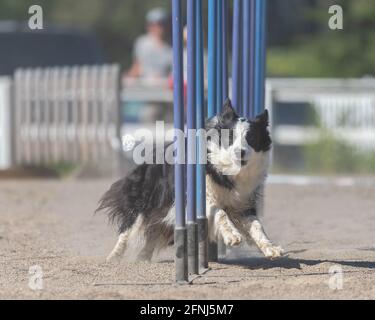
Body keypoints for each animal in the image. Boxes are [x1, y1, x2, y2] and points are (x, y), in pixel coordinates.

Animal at [97, 99, 284, 262]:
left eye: (251, 138)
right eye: (229, 137)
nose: (240, 152)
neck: (227, 172)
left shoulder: (241, 202)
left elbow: (256, 225)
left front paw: (271, 248)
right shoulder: (198, 198)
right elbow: (220, 213)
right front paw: (232, 236)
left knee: (152, 235)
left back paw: (143, 259)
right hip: (144, 200)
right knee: (128, 229)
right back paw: (114, 258)